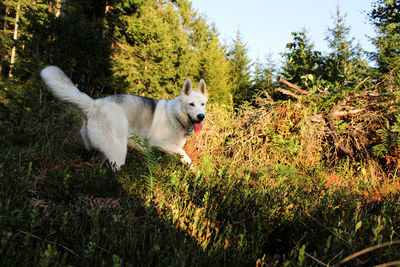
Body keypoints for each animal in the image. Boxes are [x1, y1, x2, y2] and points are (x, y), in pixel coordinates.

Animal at [40, 67, 208, 172]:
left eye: (202, 104)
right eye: (191, 104)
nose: (201, 116)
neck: (175, 115)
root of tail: (94, 104)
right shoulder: (156, 142)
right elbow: (182, 151)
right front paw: (188, 163)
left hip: (102, 153)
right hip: (119, 152)